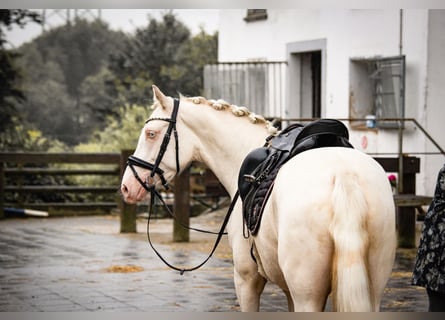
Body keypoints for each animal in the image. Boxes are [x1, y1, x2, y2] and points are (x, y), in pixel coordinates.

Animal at [119, 85, 396, 312]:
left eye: (151, 133)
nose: (127, 187)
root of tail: (344, 176)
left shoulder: (246, 279)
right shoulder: (287, 290)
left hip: (307, 294)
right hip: (372, 289)